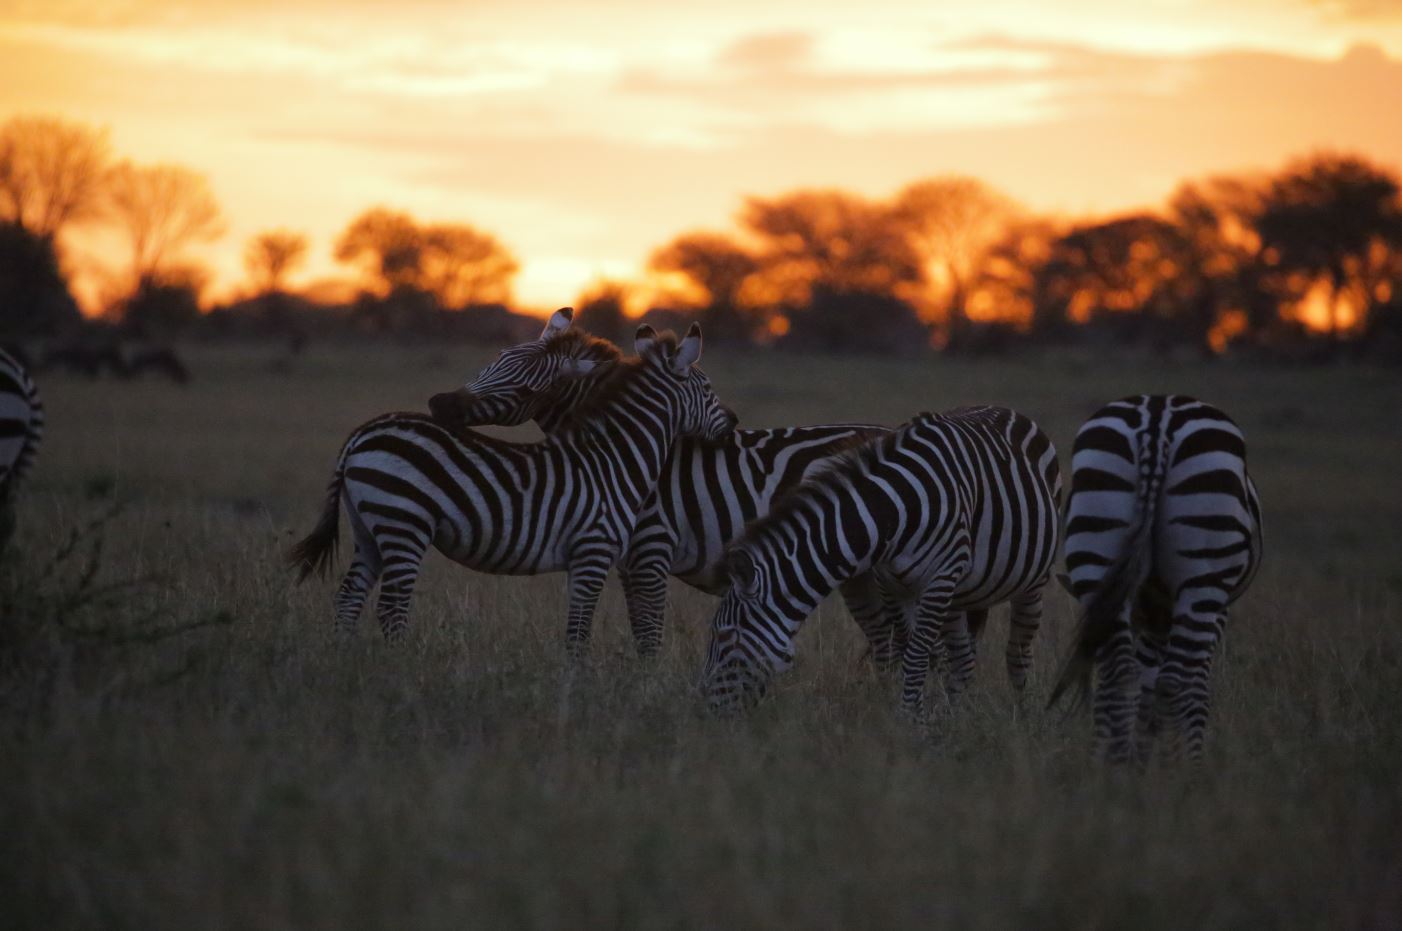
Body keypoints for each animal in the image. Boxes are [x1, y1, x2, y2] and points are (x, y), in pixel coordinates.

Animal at [289, 324, 738, 651]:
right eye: (708, 388)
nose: (734, 422)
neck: (614, 459)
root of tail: (360, 435)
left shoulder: (583, 559)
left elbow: (578, 630)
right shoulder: (594, 552)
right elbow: (580, 634)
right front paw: (575, 692)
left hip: (370, 528)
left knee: (349, 598)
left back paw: (348, 663)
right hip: (404, 522)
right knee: (390, 608)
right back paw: (398, 668)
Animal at [428, 312, 901, 662]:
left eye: (526, 386)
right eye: (494, 359)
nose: (437, 403)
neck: (623, 449)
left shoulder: (651, 549)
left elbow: (650, 637)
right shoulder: (627, 559)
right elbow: (642, 634)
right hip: (860, 574)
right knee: (887, 640)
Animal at [701, 406, 1063, 717]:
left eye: (724, 635)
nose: (705, 710)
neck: (894, 513)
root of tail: (1007, 410)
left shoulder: (939, 579)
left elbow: (917, 655)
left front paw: (908, 719)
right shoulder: (890, 582)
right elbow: (906, 646)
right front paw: (917, 716)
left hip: (1033, 581)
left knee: (1018, 652)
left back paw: (1022, 716)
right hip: (961, 595)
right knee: (961, 659)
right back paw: (954, 715)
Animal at [1048, 395, 1262, 767]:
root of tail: (1157, 420)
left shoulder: (1148, 613)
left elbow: (1140, 682)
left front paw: (1132, 751)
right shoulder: (1214, 612)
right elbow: (1195, 688)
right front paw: (1175, 754)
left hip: (1097, 548)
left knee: (1121, 675)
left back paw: (1113, 768)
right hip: (1204, 570)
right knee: (1172, 683)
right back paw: (1177, 771)